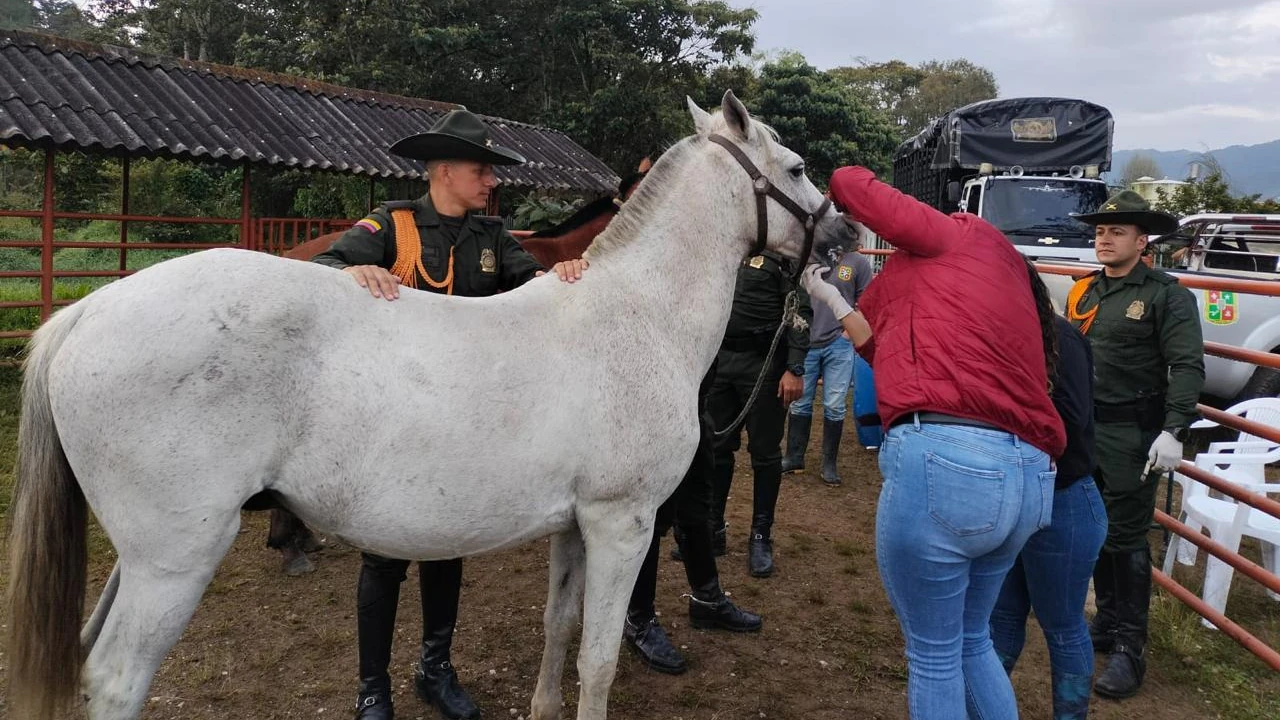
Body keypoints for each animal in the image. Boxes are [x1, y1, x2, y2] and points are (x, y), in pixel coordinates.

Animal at [6, 90, 842, 720]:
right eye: (798, 168)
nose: (843, 235)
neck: (636, 316)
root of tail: (85, 314)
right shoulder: (623, 522)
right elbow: (598, 660)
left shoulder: (576, 527)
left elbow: (559, 628)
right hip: (175, 561)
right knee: (116, 679)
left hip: (141, 558)